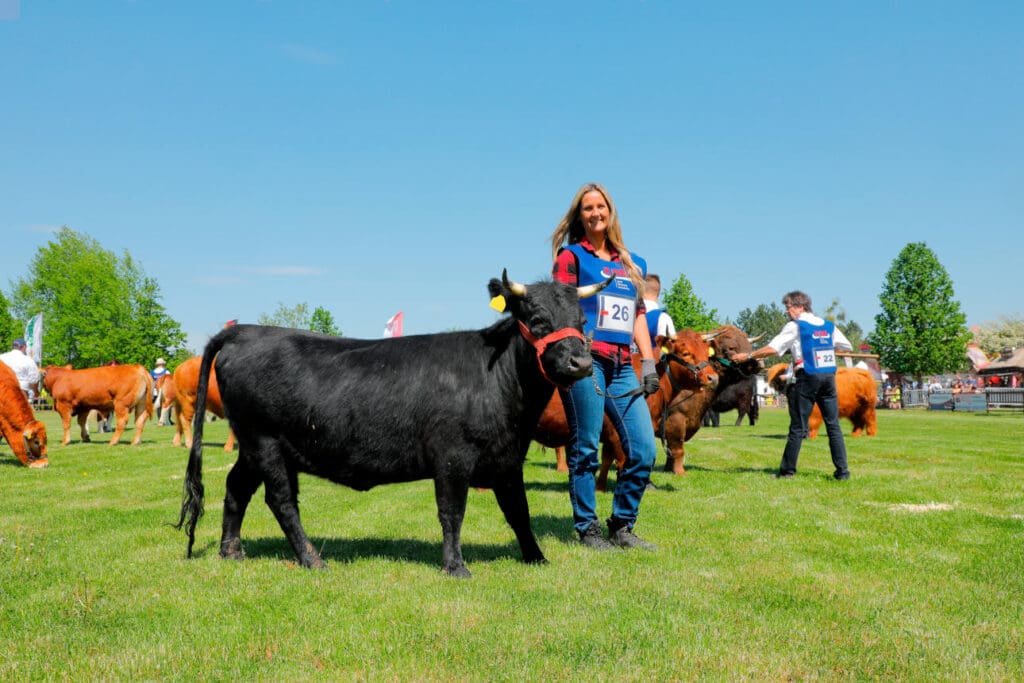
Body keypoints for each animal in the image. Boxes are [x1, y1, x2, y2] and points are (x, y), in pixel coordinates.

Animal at [177, 272, 606, 577]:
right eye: (537, 319)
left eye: (582, 320)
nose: (581, 363)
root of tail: (245, 331)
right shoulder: (453, 456)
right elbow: (452, 512)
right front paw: (456, 567)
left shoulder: (507, 457)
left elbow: (519, 511)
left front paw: (536, 557)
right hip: (265, 442)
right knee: (281, 501)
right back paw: (312, 559)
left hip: (253, 445)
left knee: (236, 488)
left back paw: (231, 551)